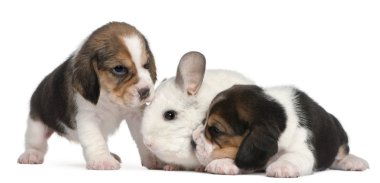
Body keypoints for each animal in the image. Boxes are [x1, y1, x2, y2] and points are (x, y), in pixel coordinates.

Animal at [17, 21, 159, 170]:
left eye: (146, 65)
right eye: (119, 69)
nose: (145, 91)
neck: (109, 98)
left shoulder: (136, 113)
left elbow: (142, 137)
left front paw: (154, 159)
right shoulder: (88, 116)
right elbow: (95, 139)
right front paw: (103, 160)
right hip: (36, 123)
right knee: (35, 143)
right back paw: (31, 155)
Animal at [193, 84, 368, 177]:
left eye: (215, 130)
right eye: (203, 121)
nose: (192, 141)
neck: (279, 114)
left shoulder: (304, 148)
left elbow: (292, 156)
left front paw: (281, 166)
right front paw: (221, 163)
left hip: (341, 139)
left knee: (341, 155)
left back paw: (354, 161)